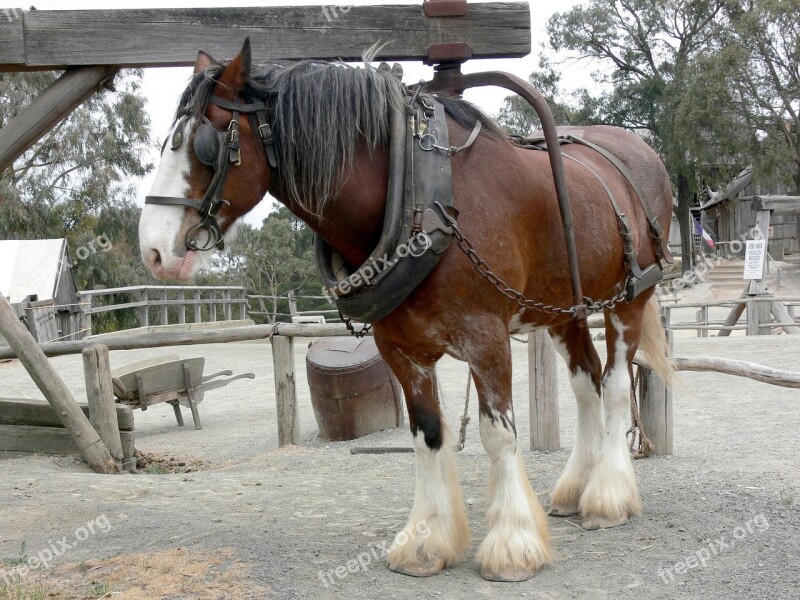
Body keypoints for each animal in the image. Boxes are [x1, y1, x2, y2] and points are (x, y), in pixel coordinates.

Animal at [139, 41, 676, 580]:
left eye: (203, 143)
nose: (153, 250)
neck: (420, 198)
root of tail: (643, 150)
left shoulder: (486, 339)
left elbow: (498, 435)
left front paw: (512, 545)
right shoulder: (400, 348)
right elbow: (427, 434)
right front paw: (427, 542)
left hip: (629, 299)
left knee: (613, 385)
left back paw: (607, 497)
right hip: (567, 309)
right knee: (587, 383)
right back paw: (575, 488)